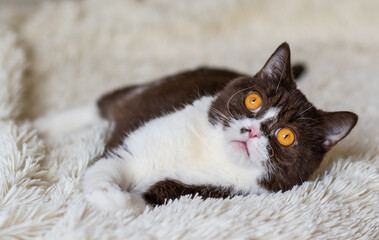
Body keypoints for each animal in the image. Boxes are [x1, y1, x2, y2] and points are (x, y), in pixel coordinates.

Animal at [35, 42, 360, 213]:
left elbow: (157, 197)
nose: (253, 130)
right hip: (158, 87)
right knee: (103, 104)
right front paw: (104, 190)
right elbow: (109, 163)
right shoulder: (138, 137)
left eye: (286, 136)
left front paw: (117, 200)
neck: (210, 152)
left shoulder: (212, 190)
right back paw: (39, 127)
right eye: (253, 100)